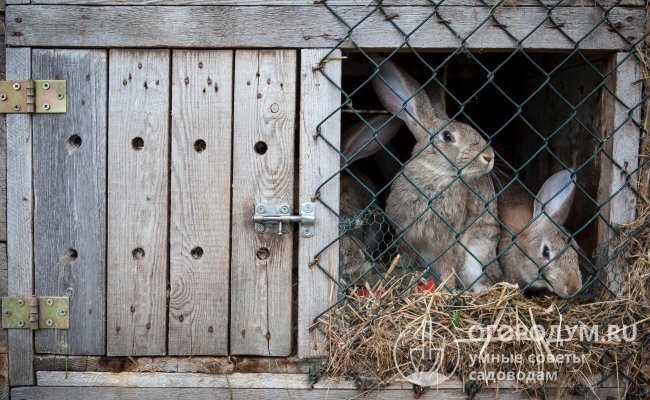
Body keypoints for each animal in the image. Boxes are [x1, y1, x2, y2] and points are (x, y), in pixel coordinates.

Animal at [368, 55, 498, 290]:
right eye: (447, 136)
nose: (489, 157)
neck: (436, 174)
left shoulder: (449, 240)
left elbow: (447, 265)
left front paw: (445, 288)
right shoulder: (406, 235)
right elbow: (406, 257)